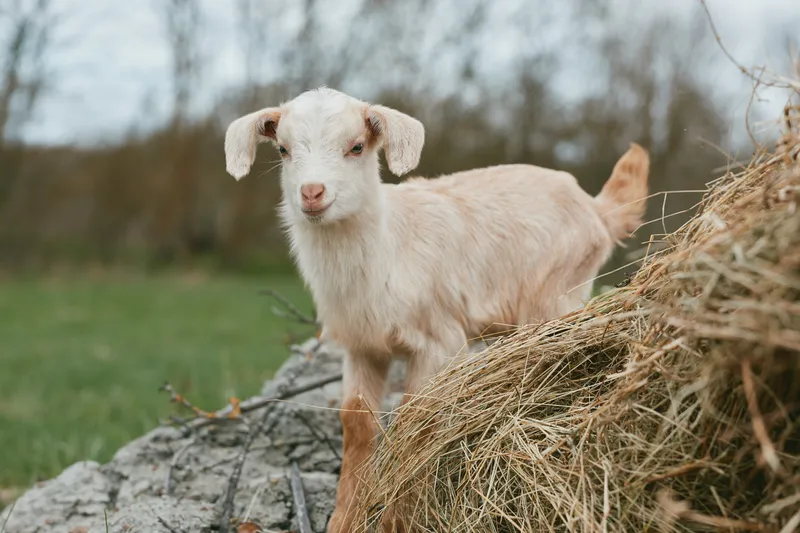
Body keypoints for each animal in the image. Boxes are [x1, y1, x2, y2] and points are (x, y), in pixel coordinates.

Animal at [224, 87, 649, 533]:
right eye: (283, 149)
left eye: (356, 147)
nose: (312, 193)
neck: (388, 248)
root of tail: (596, 209)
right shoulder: (362, 346)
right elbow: (357, 423)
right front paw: (344, 519)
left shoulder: (438, 342)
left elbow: (417, 421)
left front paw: (397, 520)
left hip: (556, 294)